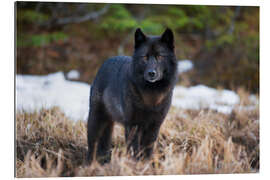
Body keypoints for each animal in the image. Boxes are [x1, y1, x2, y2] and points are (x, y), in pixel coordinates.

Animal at [87, 27, 178, 165]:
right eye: (145, 57)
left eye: (160, 56)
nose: (151, 73)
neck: (151, 96)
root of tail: (105, 62)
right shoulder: (132, 125)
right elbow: (134, 149)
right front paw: (135, 164)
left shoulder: (154, 126)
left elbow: (147, 149)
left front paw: (146, 165)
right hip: (96, 120)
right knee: (92, 144)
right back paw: (88, 165)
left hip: (108, 124)